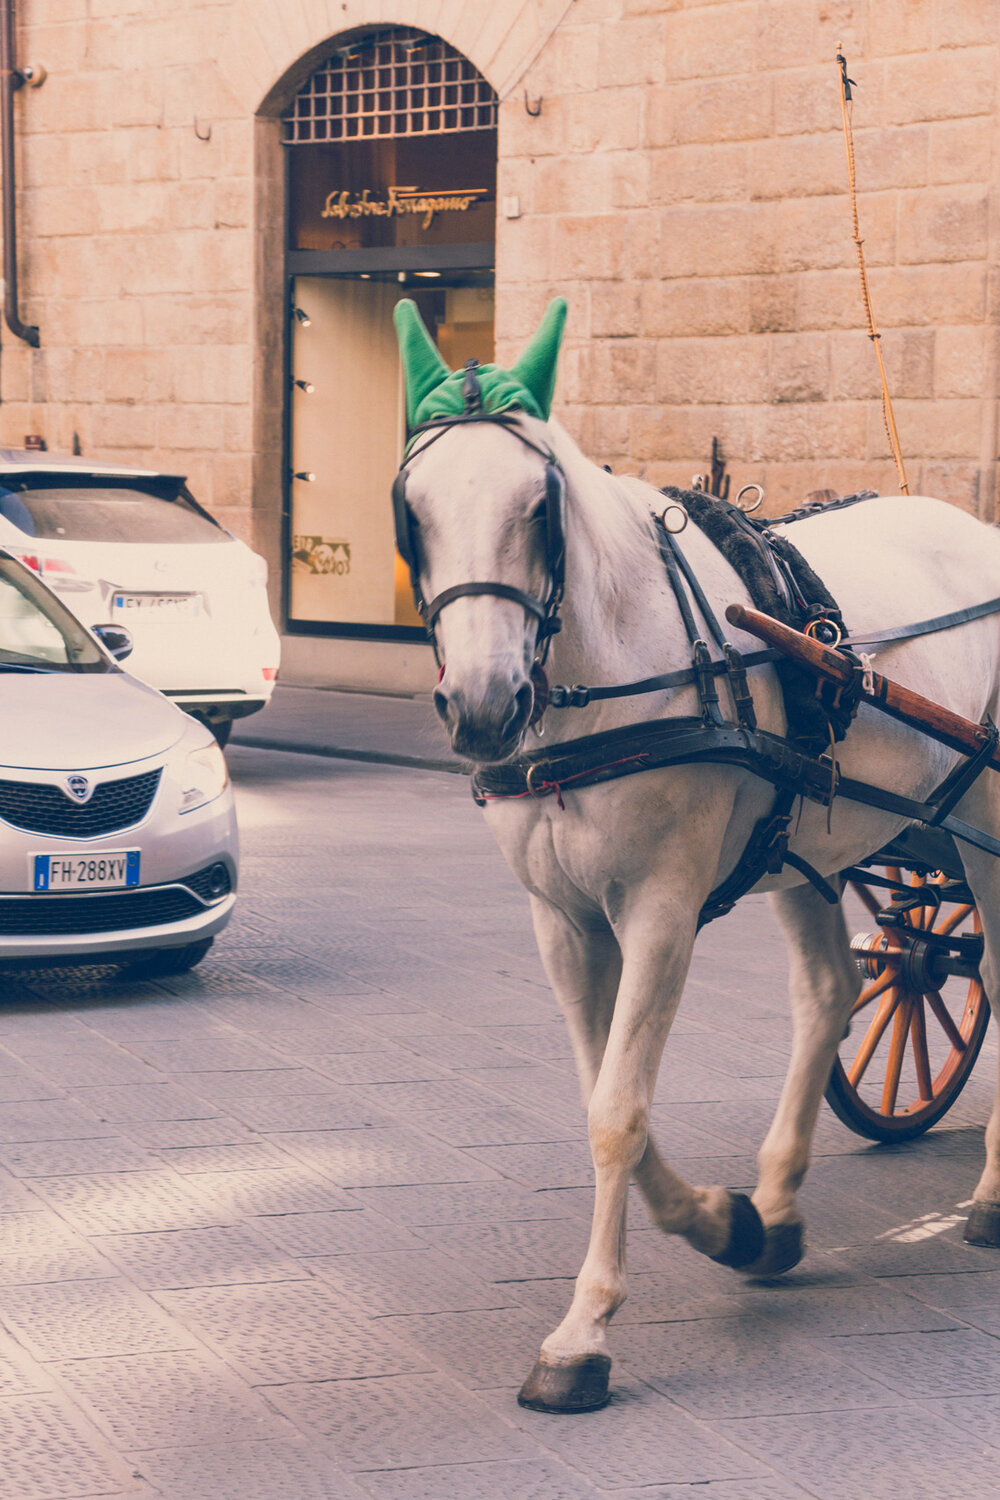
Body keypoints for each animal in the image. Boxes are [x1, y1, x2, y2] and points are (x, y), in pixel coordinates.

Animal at [392, 298, 1000, 1410]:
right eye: (412, 507)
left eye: (539, 505)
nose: (485, 705)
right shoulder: (563, 919)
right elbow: (603, 1099)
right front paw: (731, 1226)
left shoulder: (661, 908)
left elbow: (616, 1115)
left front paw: (581, 1336)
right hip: (806, 839)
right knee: (833, 990)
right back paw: (782, 1206)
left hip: (984, 817)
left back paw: (986, 1197)